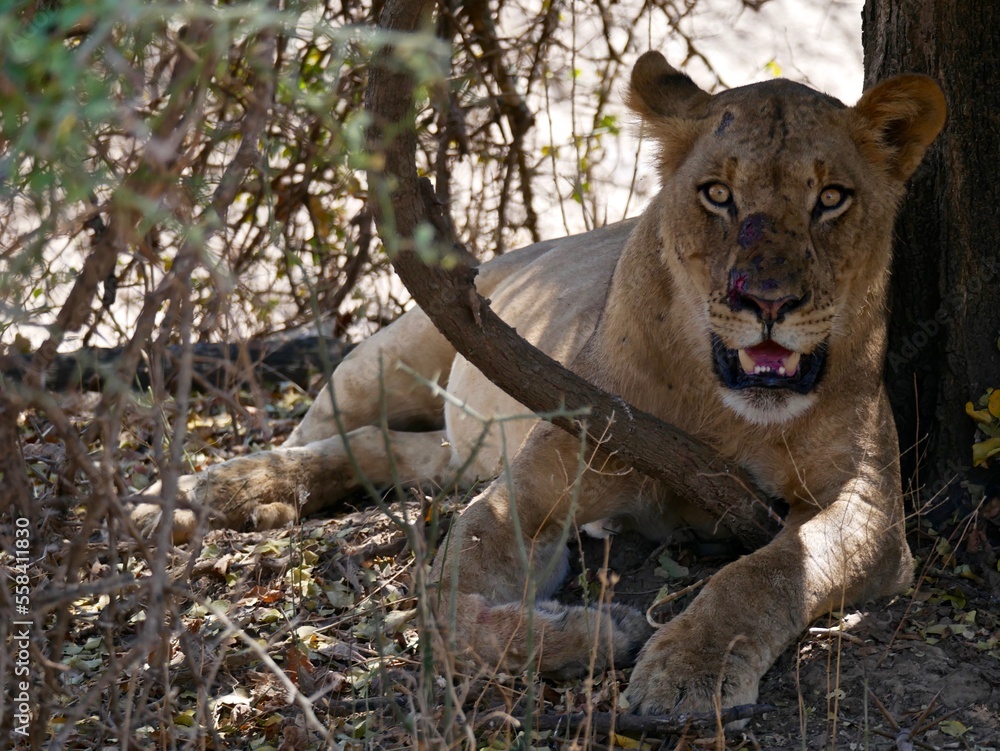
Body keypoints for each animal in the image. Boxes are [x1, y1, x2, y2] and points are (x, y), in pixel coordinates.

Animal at [134, 51, 946, 716]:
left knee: (377, 448)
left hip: (463, 450)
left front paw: (689, 669)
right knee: (320, 432)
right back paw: (209, 493)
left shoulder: (871, 507)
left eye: (832, 198)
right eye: (718, 194)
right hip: (391, 356)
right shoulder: (535, 485)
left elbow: (768, 572)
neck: (726, 410)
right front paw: (600, 633)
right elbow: (449, 605)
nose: (768, 302)